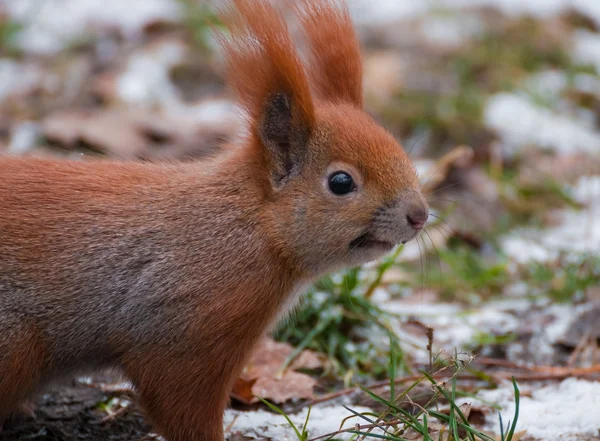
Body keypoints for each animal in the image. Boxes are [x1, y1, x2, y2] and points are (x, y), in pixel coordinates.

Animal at [1, 0, 432, 440]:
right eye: (341, 182)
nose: (419, 215)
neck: (248, 226)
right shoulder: (186, 330)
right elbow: (179, 401)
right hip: (14, 347)